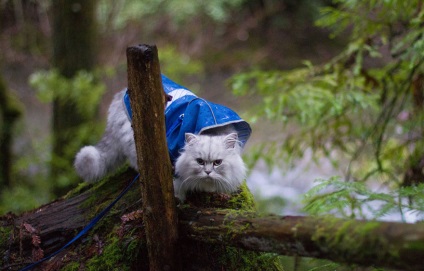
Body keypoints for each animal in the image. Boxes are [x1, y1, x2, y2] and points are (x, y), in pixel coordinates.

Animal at [73, 74, 252, 200]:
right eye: (200, 162)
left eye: (218, 163)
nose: (208, 172)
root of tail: (120, 94)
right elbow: (177, 183)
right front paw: (182, 195)